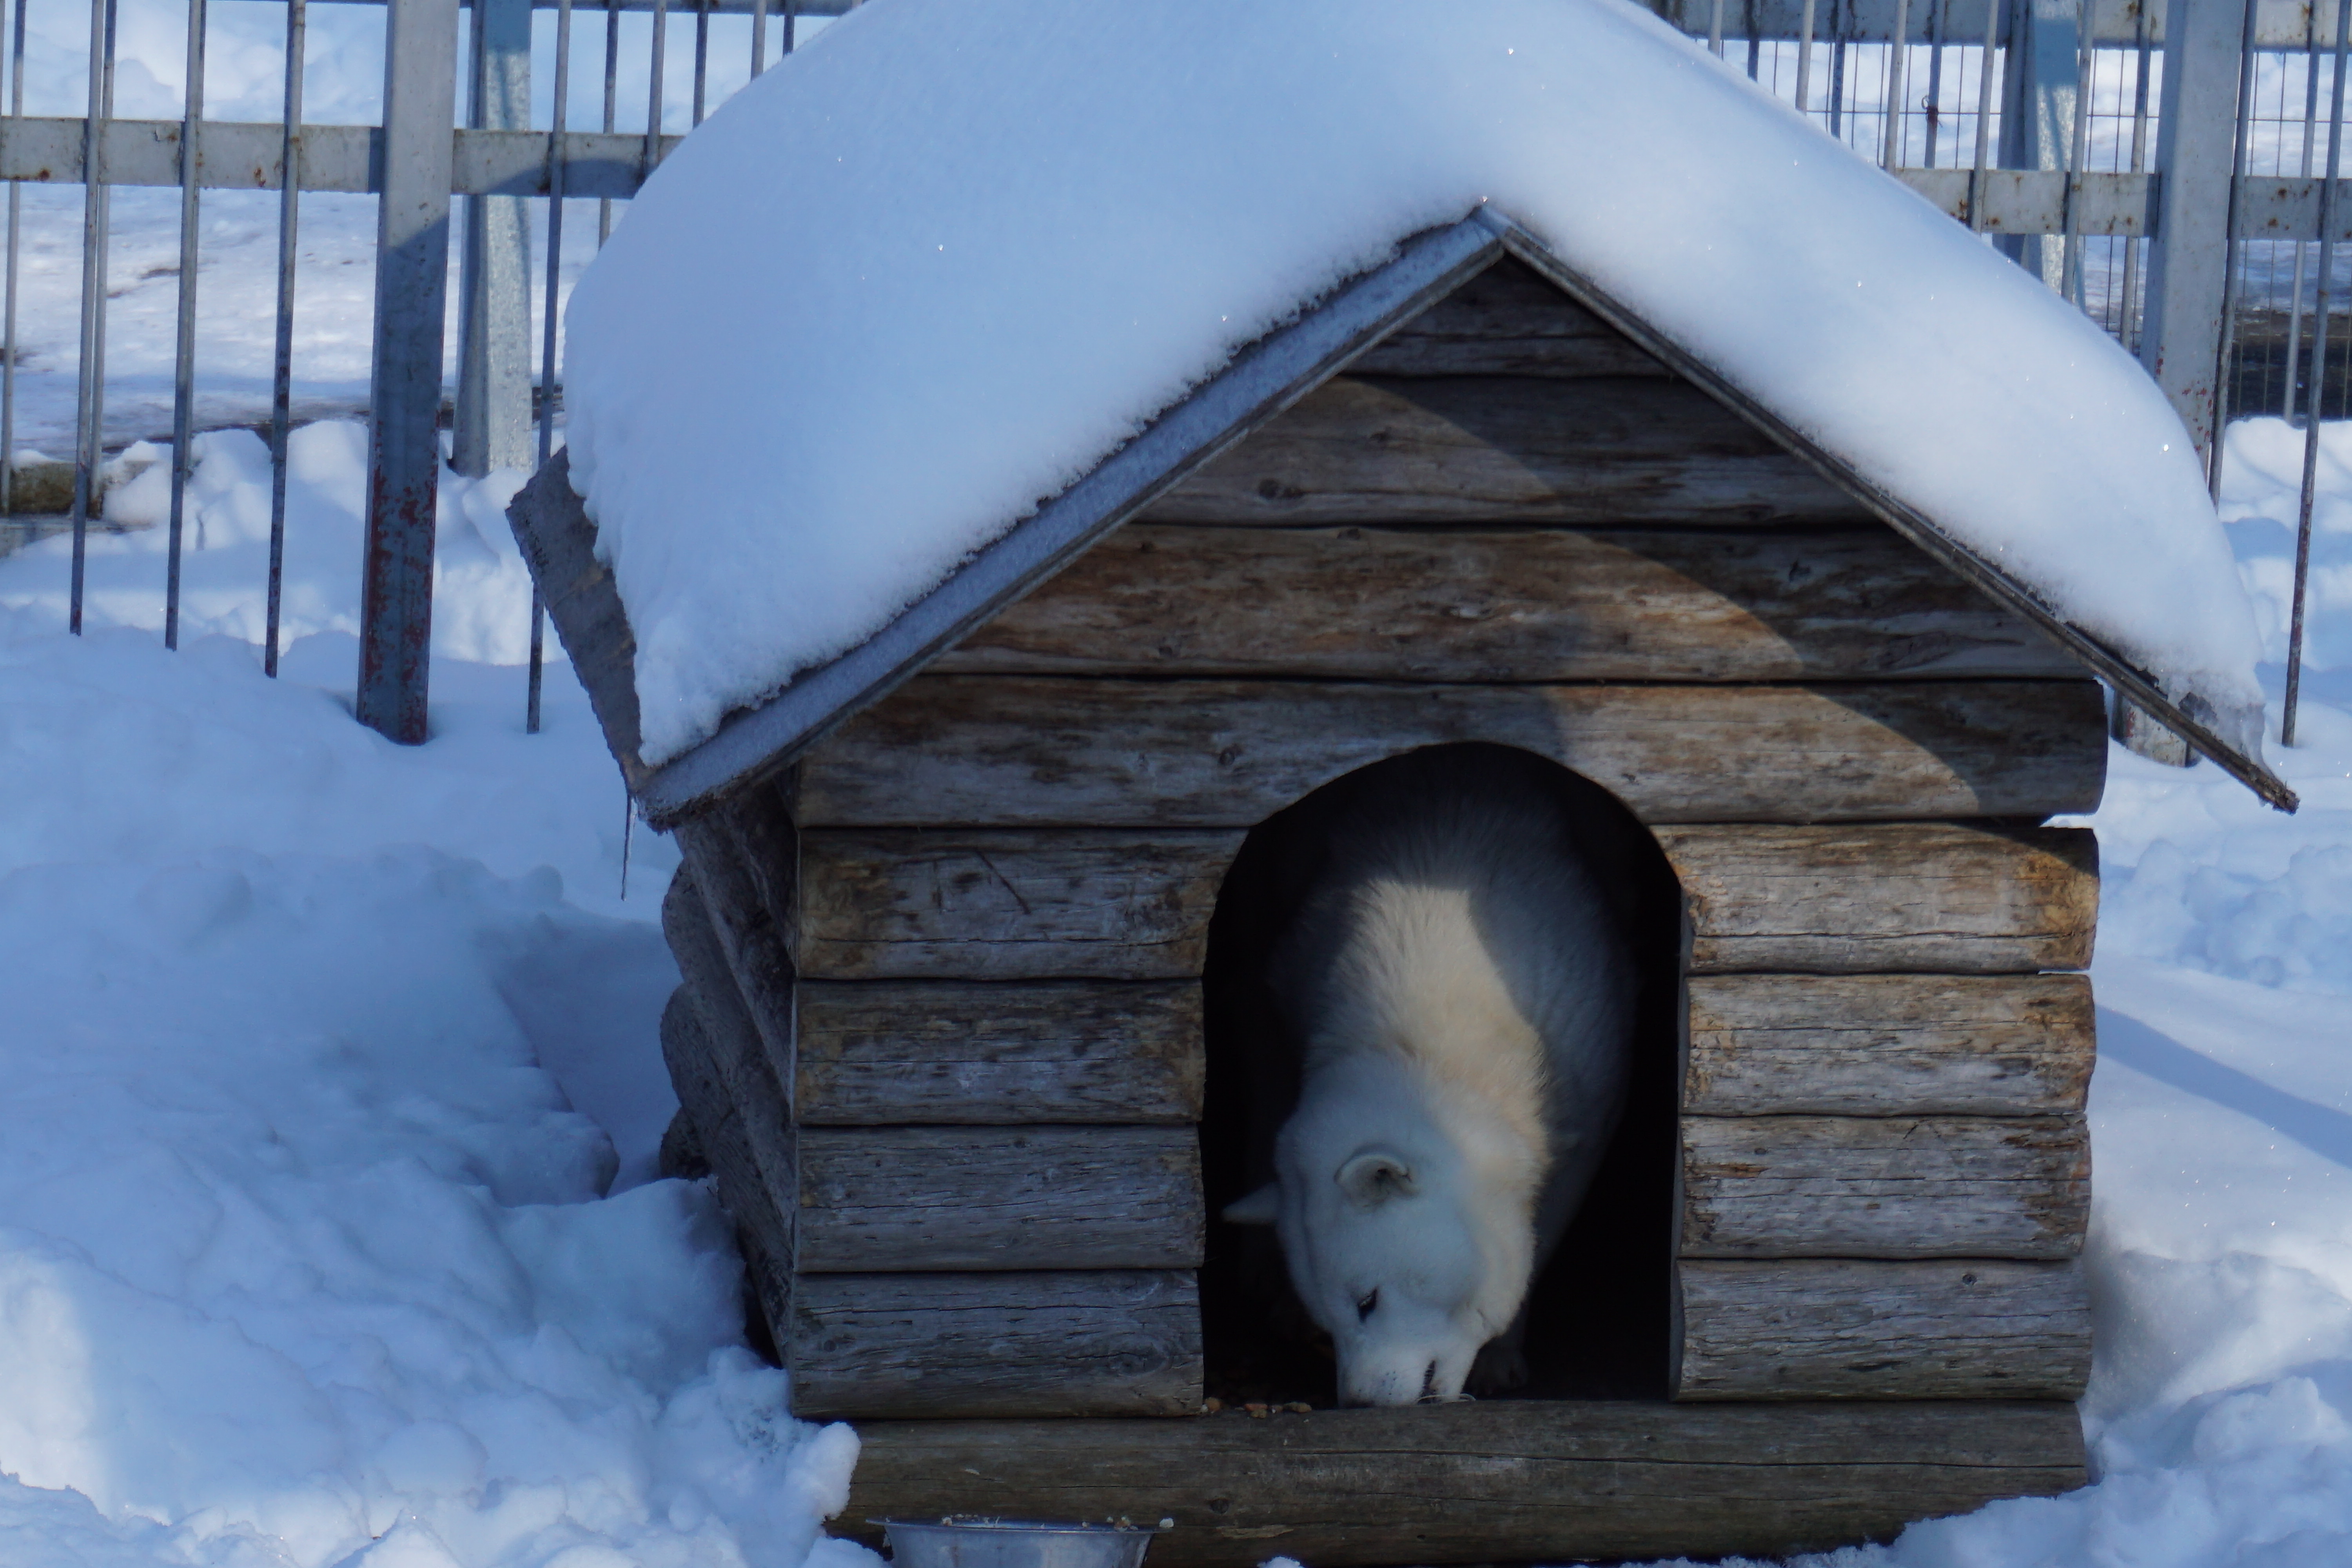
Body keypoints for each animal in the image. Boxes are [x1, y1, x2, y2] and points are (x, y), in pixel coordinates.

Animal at [1221, 749, 1634, 1407]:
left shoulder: (1590, 1086)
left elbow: (1535, 1238)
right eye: (1332, 1317)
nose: (1359, 1401)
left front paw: (1499, 1356)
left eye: (1367, 1301)